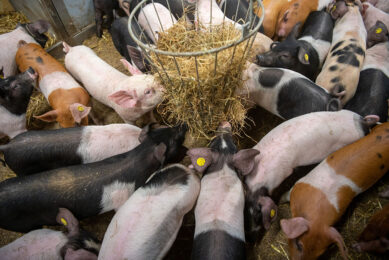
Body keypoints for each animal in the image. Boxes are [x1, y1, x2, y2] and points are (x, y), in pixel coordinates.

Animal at [244, 110, 378, 233]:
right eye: (245, 208)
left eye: (257, 213)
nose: (252, 231)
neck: (259, 180)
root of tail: (363, 122)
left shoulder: (284, 172)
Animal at [278, 122, 388, 260]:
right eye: (298, 244)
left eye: (319, 255)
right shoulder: (299, 184)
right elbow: (286, 194)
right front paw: (278, 199)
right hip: (377, 129)